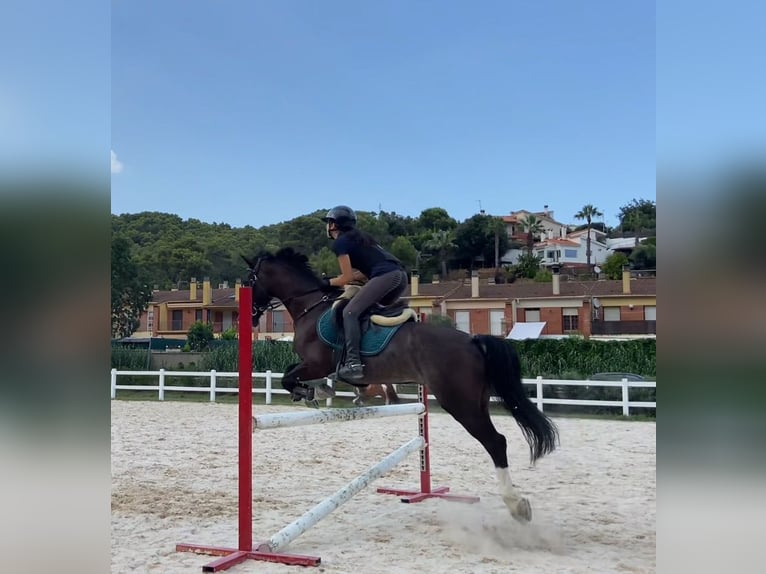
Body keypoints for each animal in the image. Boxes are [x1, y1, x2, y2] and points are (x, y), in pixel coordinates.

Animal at [243, 248, 558, 522]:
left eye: (251, 280)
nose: (251, 315)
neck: (311, 307)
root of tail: (472, 340)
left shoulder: (316, 362)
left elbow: (289, 377)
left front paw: (309, 391)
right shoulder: (317, 366)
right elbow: (297, 375)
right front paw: (321, 390)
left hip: (460, 403)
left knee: (495, 442)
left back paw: (517, 506)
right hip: (476, 401)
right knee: (495, 440)